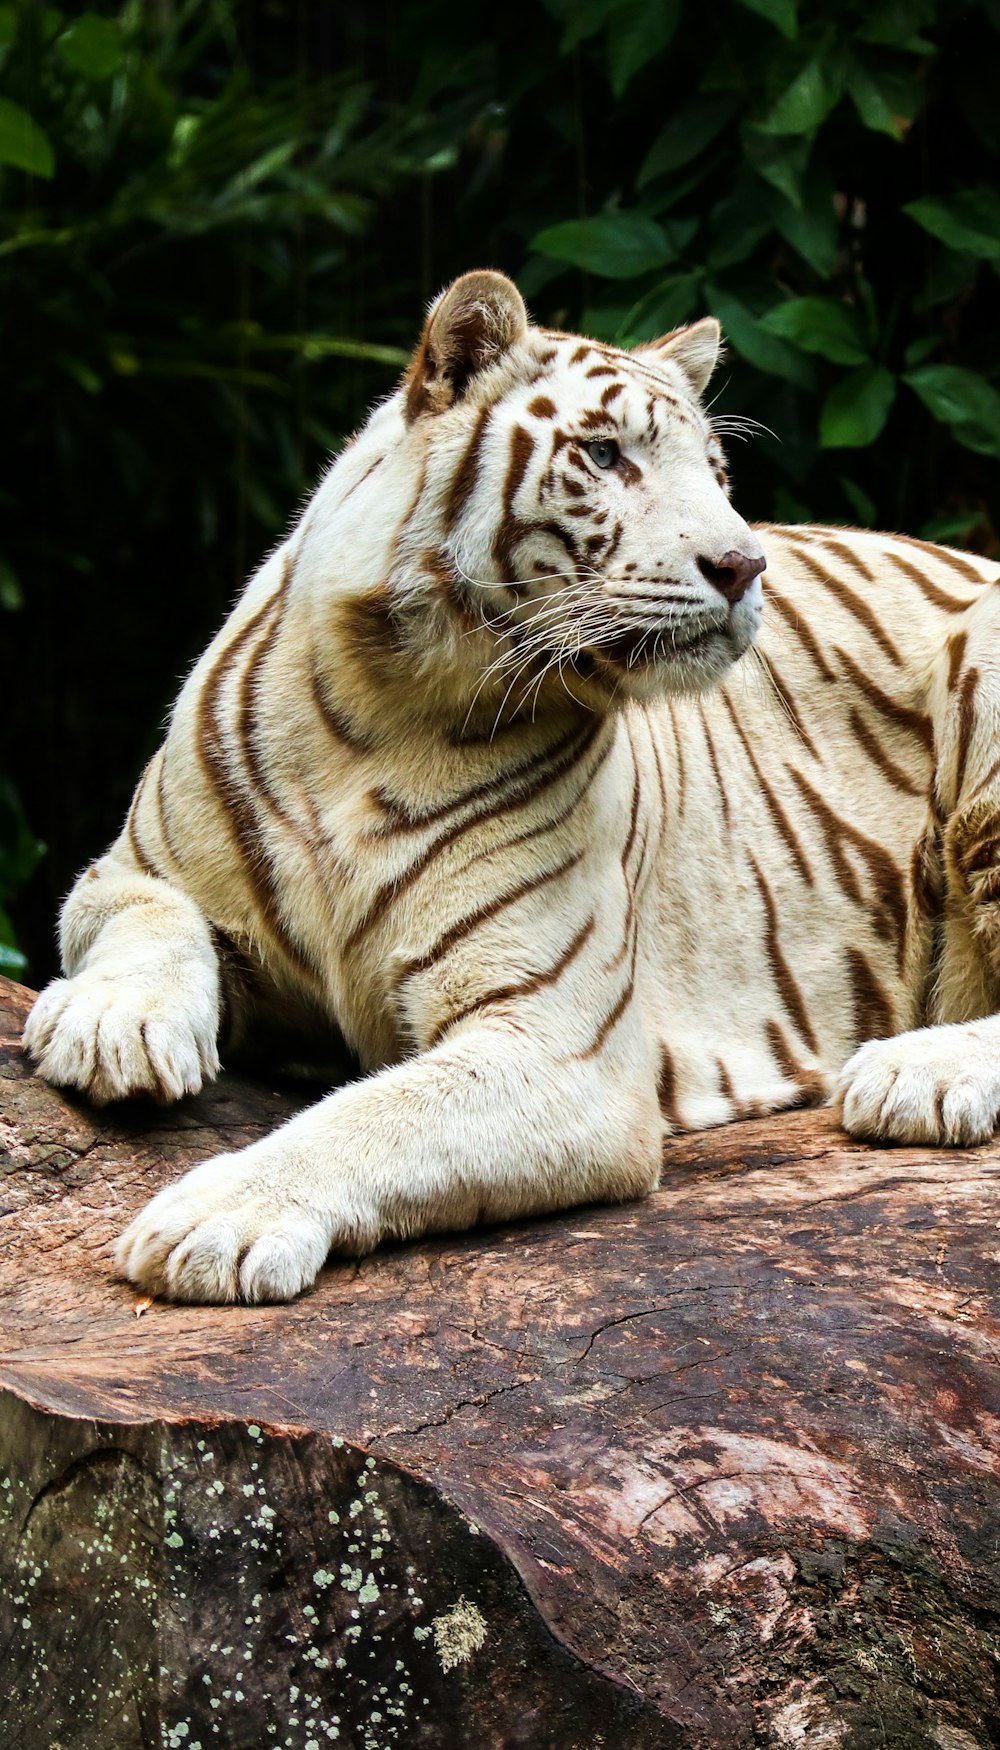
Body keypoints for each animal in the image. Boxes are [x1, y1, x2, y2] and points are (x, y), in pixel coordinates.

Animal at [21, 269, 1000, 1302]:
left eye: (715, 474)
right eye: (606, 455)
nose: (743, 565)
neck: (383, 705)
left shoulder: (560, 1042)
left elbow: (370, 1116)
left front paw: (216, 1219)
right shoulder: (131, 864)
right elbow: (143, 917)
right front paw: (113, 1025)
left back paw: (917, 1074)